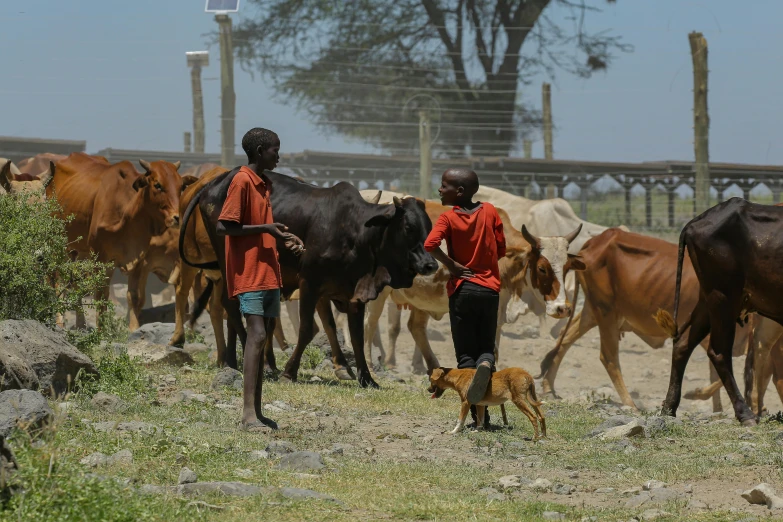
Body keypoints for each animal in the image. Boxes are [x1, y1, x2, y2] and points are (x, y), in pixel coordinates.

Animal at [184, 170, 440, 386]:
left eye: (429, 226)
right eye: (408, 227)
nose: (431, 264)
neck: (356, 232)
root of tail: (212, 184)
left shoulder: (353, 293)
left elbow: (356, 335)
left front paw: (367, 378)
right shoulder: (309, 283)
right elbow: (307, 329)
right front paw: (290, 372)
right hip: (229, 263)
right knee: (229, 306)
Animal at [536, 228, 752, 410]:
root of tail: (595, 241)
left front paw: (719, 409)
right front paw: (697, 394)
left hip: (593, 310)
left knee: (565, 338)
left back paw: (548, 386)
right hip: (606, 312)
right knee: (608, 357)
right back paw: (630, 404)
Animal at [656, 197, 783, 424]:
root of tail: (694, 222)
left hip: (709, 301)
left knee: (682, 344)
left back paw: (669, 408)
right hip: (722, 298)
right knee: (719, 352)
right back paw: (746, 414)